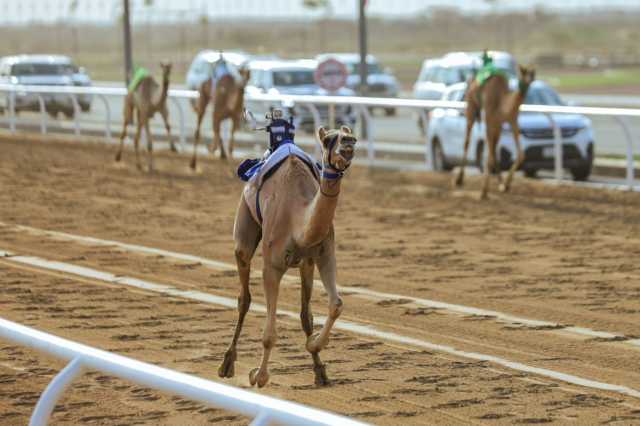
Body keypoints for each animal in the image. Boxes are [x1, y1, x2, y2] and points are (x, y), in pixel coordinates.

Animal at [218, 125, 358, 388]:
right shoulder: (271, 267)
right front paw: (258, 376)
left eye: (352, 136)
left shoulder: (324, 254)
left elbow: (334, 305)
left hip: (305, 264)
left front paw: (315, 349)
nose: (348, 144)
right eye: (328, 140)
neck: (297, 220)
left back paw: (319, 371)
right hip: (244, 230)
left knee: (305, 314)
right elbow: (269, 334)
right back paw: (226, 364)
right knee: (244, 297)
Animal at [452, 56, 536, 200]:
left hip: (496, 126)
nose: (530, 79)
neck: (503, 104)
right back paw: (459, 179)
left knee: (494, 149)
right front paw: (484, 191)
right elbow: (488, 155)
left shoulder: (511, 121)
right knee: (467, 141)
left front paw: (506, 185)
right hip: (471, 107)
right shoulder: (490, 119)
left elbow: (520, 154)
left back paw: (501, 182)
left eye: (533, 73)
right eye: (524, 72)